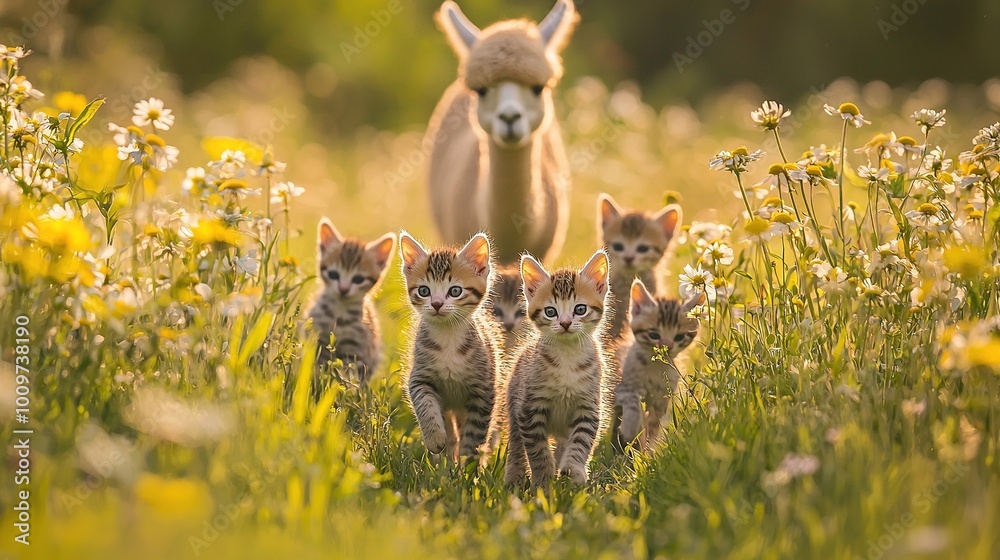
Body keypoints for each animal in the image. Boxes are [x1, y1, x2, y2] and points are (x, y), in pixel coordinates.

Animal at [306, 217, 396, 382]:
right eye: (333, 274)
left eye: (358, 279)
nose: (343, 289)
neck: (339, 316)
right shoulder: (319, 340)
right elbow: (318, 367)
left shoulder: (357, 349)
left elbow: (351, 377)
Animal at [400, 231, 504, 460]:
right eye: (424, 291)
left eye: (455, 291)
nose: (437, 304)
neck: (448, 337)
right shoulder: (420, 377)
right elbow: (425, 404)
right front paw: (435, 438)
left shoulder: (483, 390)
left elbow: (474, 434)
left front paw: (468, 464)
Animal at [504, 249, 612, 486]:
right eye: (550, 312)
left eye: (580, 309)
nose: (565, 323)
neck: (567, 357)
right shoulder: (529, 408)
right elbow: (537, 450)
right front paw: (542, 480)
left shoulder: (588, 407)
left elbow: (580, 443)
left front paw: (574, 471)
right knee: (516, 444)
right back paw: (514, 476)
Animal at [612, 278, 700, 452]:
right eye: (653, 335)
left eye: (679, 337)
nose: (667, 346)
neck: (655, 365)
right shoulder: (624, 385)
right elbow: (633, 402)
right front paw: (630, 428)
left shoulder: (662, 398)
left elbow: (653, 424)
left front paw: (649, 448)